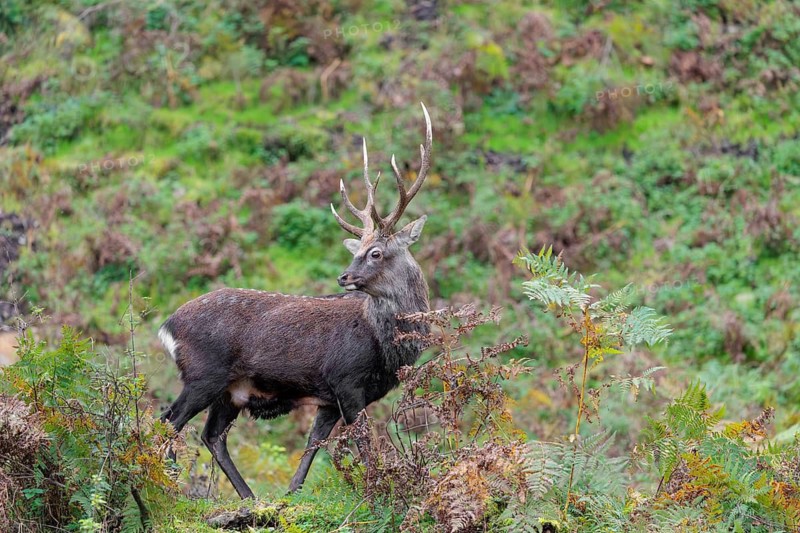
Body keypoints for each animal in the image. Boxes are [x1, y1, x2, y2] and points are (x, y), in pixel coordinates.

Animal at [158, 103, 433, 499]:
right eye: (360, 250)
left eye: (375, 252)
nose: (344, 277)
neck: (386, 349)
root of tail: (167, 327)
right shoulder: (347, 379)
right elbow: (363, 442)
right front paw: (379, 489)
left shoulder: (329, 397)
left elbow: (313, 443)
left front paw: (292, 493)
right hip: (203, 374)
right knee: (168, 421)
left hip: (231, 390)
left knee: (212, 435)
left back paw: (249, 497)